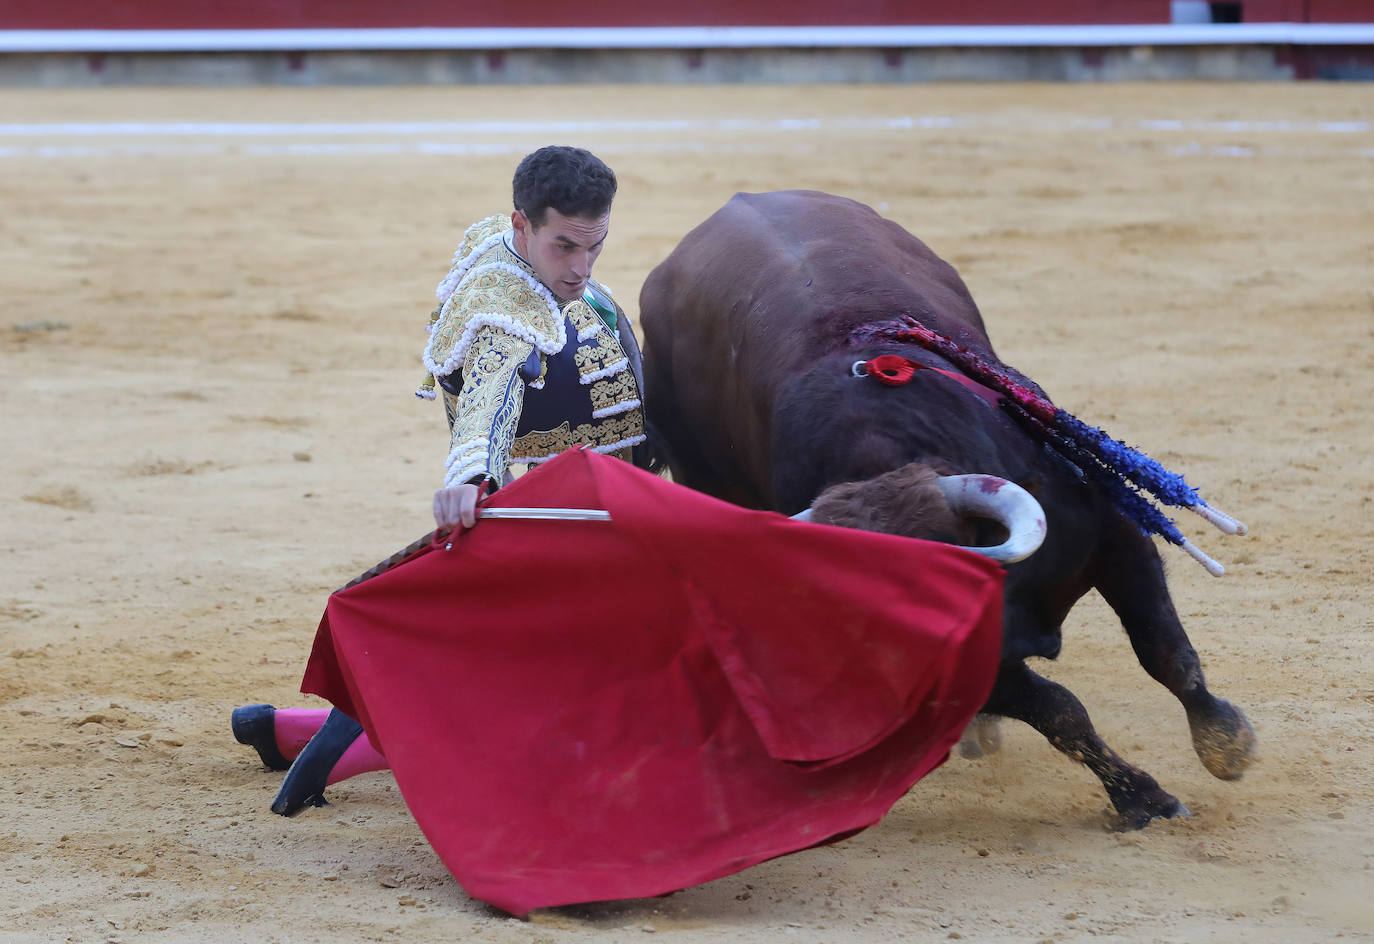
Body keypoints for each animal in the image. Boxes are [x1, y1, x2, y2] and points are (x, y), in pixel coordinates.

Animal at [640, 189, 1258, 824]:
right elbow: (1062, 712)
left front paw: (1223, 742)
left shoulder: (1114, 537)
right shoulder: (983, 667)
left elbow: (1164, 650)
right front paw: (1140, 796)